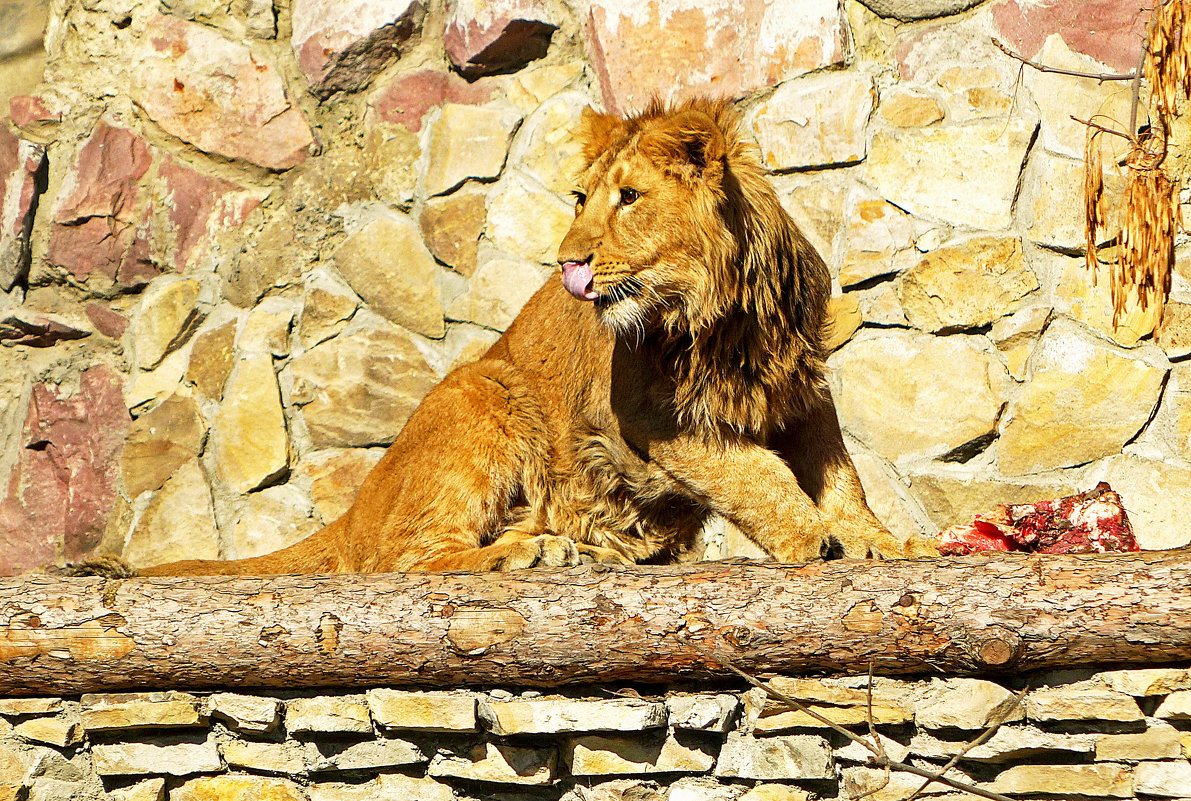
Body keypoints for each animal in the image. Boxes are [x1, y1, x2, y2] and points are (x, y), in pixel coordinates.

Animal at [116, 98, 933, 576]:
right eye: (580, 199)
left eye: (628, 197)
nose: (568, 260)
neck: (718, 314)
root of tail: (356, 508)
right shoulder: (647, 418)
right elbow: (751, 471)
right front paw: (810, 537)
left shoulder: (800, 387)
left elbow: (840, 476)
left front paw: (881, 540)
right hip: (484, 391)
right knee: (406, 558)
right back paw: (533, 549)